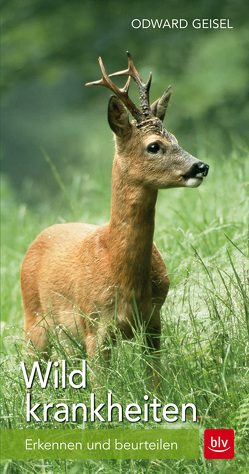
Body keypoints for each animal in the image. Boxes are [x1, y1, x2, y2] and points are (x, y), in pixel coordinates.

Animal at [20, 51, 208, 386]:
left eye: (175, 138)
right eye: (154, 146)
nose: (200, 166)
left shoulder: (153, 320)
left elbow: (155, 379)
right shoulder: (95, 326)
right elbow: (100, 386)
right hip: (35, 322)